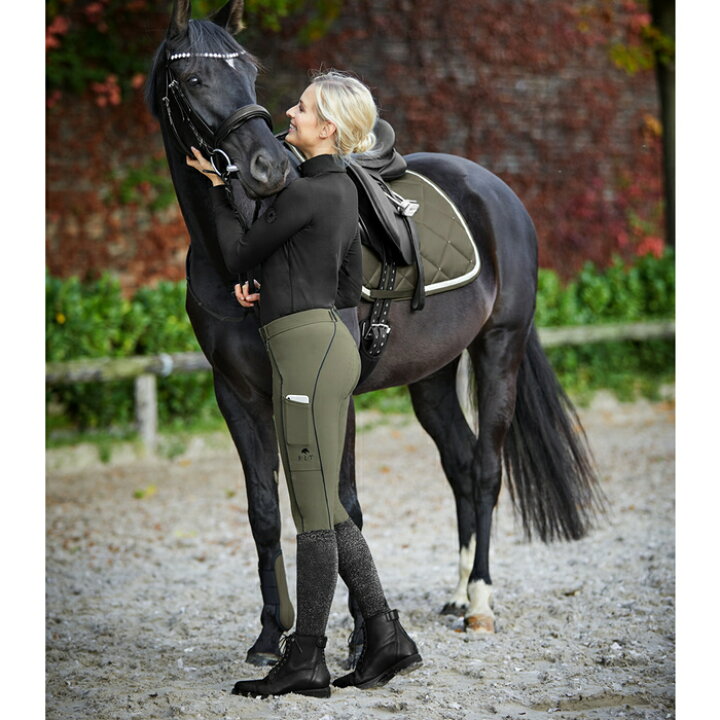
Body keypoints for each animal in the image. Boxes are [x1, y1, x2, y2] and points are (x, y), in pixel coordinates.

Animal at [147, 0, 603, 667]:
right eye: (195, 77)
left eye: (251, 73)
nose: (266, 169)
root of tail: (496, 191)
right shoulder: (236, 393)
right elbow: (264, 512)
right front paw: (269, 636)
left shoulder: (333, 392)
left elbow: (347, 504)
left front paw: (364, 639)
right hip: (433, 376)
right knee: (460, 463)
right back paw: (456, 595)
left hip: (500, 348)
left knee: (486, 469)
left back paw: (481, 604)